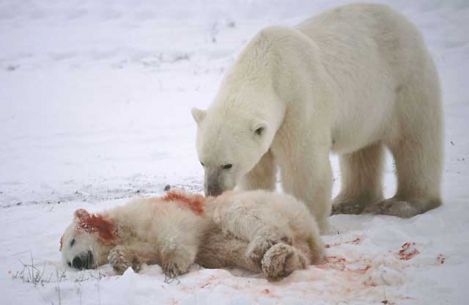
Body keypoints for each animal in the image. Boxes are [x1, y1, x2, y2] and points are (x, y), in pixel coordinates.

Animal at [191, 2, 442, 230]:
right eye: (202, 162)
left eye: (227, 164)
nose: (213, 192)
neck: (267, 63)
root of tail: (403, 21)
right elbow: (258, 171)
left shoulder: (299, 101)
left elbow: (304, 165)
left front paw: (308, 220)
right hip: (366, 107)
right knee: (361, 150)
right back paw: (349, 202)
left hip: (405, 82)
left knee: (414, 142)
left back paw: (403, 204)